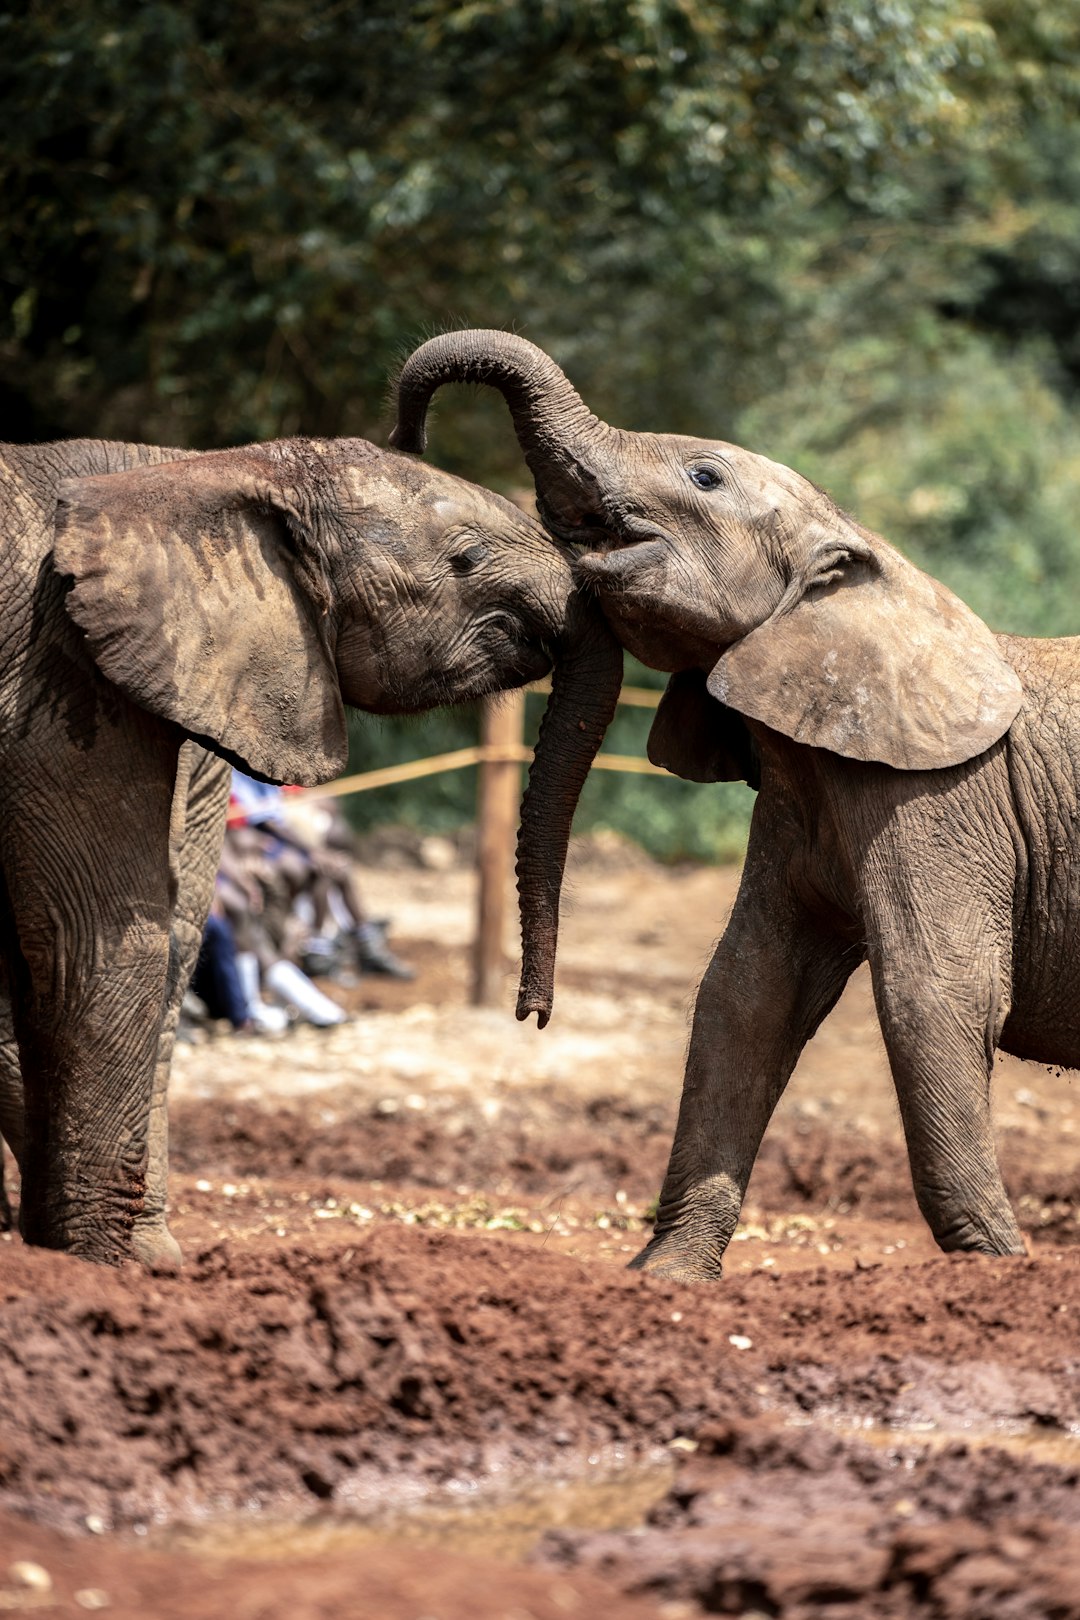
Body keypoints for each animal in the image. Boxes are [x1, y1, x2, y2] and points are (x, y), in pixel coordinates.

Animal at [0, 434, 621, 1263]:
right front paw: (99, 1266)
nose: (532, 1016)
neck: (197, 471)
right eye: (463, 558)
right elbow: (93, 935)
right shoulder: (57, 684)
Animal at [390, 328, 1080, 1283]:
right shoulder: (801, 792)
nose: (533, 1015)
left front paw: (998, 1270)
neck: (862, 557)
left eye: (705, 478)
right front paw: (664, 1279)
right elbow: (746, 993)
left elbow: (935, 992)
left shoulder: (939, 794)